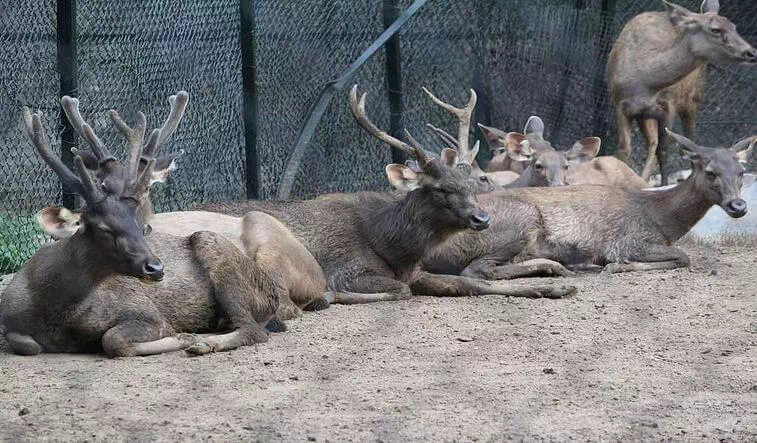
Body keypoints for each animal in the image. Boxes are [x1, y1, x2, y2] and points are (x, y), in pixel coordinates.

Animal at [1, 93, 282, 358]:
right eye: (103, 228)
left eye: (142, 228)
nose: (156, 268)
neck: (52, 310)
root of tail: (272, 296)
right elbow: (27, 344)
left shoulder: (145, 311)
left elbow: (113, 339)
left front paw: (184, 337)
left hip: (216, 251)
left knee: (254, 330)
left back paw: (204, 343)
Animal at [193, 86, 572, 302]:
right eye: (440, 188)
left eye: (474, 182)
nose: (482, 218)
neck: (393, 247)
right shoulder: (348, 269)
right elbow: (404, 290)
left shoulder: (417, 271)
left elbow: (467, 284)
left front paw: (556, 286)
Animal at [422, 128, 752, 280]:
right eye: (710, 171)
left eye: (741, 170)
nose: (739, 206)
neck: (661, 219)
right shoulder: (629, 241)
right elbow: (683, 256)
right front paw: (617, 266)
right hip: (520, 219)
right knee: (478, 270)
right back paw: (560, 266)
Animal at [608, 0, 756, 185]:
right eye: (715, 29)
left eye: (734, 26)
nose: (751, 52)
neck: (644, 82)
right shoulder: (619, 104)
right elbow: (623, 150)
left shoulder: (668, 105)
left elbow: (664, 150)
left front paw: (664, 184)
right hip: (646, 114)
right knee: (652, 142)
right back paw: (643, 179)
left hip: (693, 97)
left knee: (688, 139)